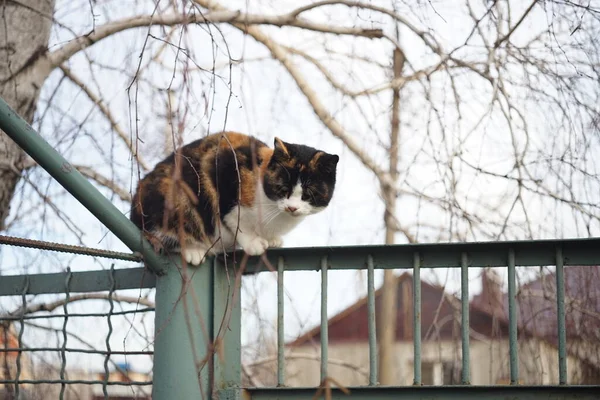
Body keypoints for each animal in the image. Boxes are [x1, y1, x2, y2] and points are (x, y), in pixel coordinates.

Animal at [129, 131, 340, 268]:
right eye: (282, 188)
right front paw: (254, 243)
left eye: (308, 194)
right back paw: (193, 250)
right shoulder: (225, 172)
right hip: (173, 195)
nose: (292, 208)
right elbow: (235, 220)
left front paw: (272, 240)